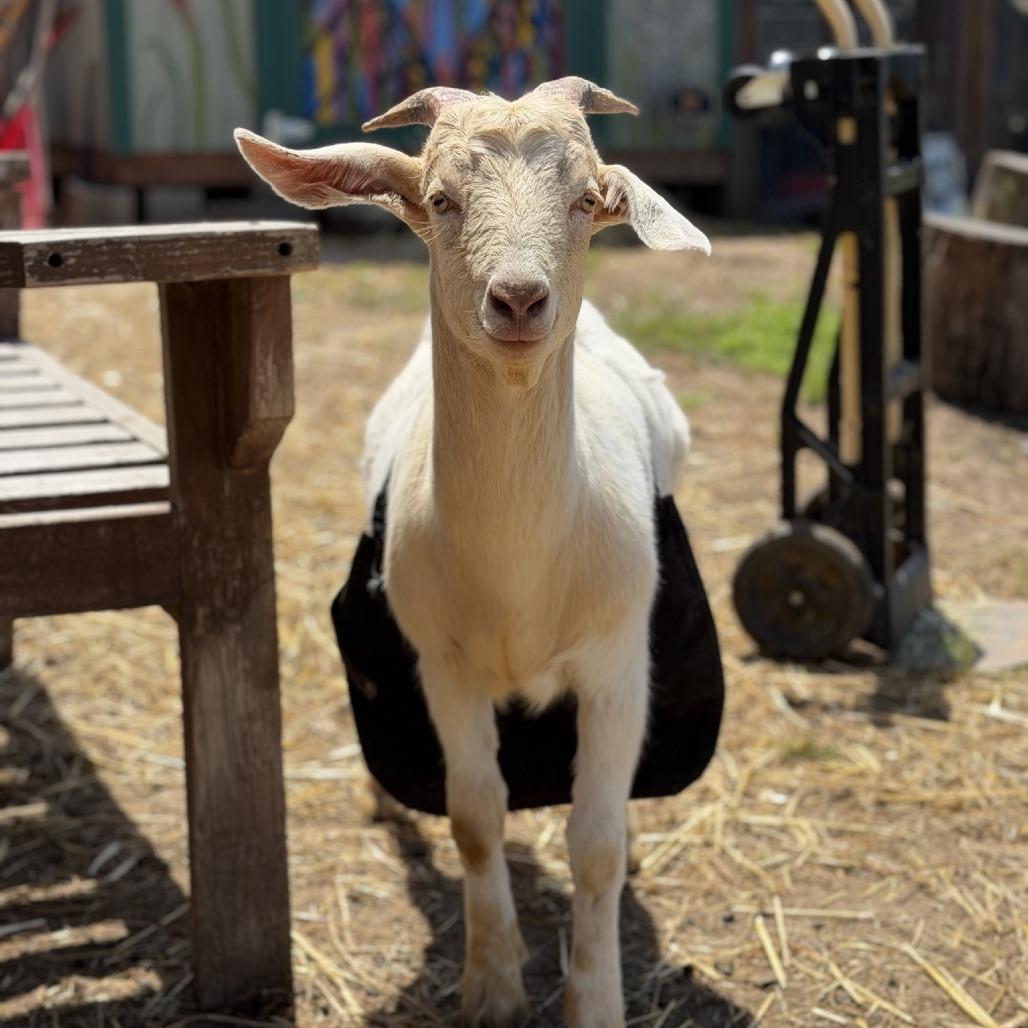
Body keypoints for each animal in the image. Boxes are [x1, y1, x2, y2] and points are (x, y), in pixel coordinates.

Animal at [236, 76, 710, 1028]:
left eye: (586, 199)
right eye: (441, 200)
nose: (519, 299)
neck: (518, 578)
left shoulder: (615, 664)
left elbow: (595, 845)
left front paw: (593, 1000)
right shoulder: (443, 666)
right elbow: (474, 819)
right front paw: (492, 984)